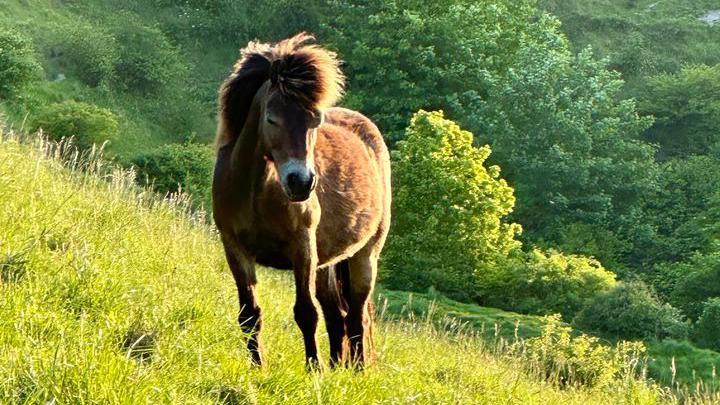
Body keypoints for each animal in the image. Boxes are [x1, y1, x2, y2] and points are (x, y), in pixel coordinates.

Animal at [211, 32, 390, 366]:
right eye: (272, 118)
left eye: (314, 120)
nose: (301, 182)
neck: (255, 191)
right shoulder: (235, 248)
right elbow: (249, 315)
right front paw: (258, 367)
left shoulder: (302, 248)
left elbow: (306, 313)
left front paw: (313, 370)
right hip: (326, 264)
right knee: (337, 314)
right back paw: (337, 367)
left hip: (364, 256)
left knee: (356, 317)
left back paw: (356, 370)